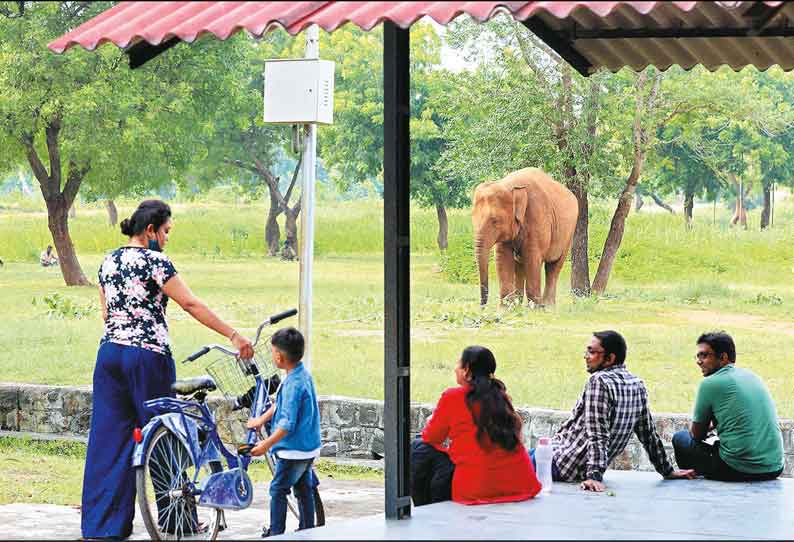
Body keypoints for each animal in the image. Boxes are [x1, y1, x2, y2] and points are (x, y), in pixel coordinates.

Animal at [470, 168, 576, 308]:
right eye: (472, 217)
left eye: (495, 220)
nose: (482, 307)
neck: (509, 185)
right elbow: (502, 257)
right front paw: (506, 308)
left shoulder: (537, 216)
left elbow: (532, 257)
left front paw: (535, 308)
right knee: (520, 266)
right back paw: (518, 304)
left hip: (568, 234)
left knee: (553, 266)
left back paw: (547, 306)